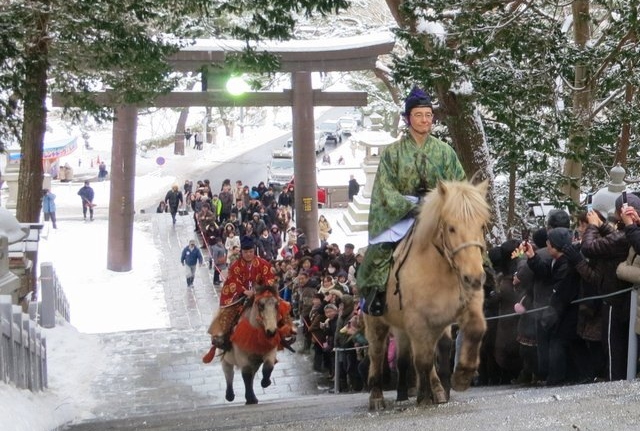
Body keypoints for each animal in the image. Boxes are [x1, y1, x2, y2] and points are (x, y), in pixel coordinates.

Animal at [364, 180, 490, 412]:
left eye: (482, 226)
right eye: (451, 227)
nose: (474, 277)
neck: (441, 271)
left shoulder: (464, 307)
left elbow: (475, 330)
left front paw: (462, 376)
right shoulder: (418, 320)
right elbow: (422, 360)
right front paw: (423, 396)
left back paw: (432, 389)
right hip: (376, 321)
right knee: (377, 352)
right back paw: (377, 396)